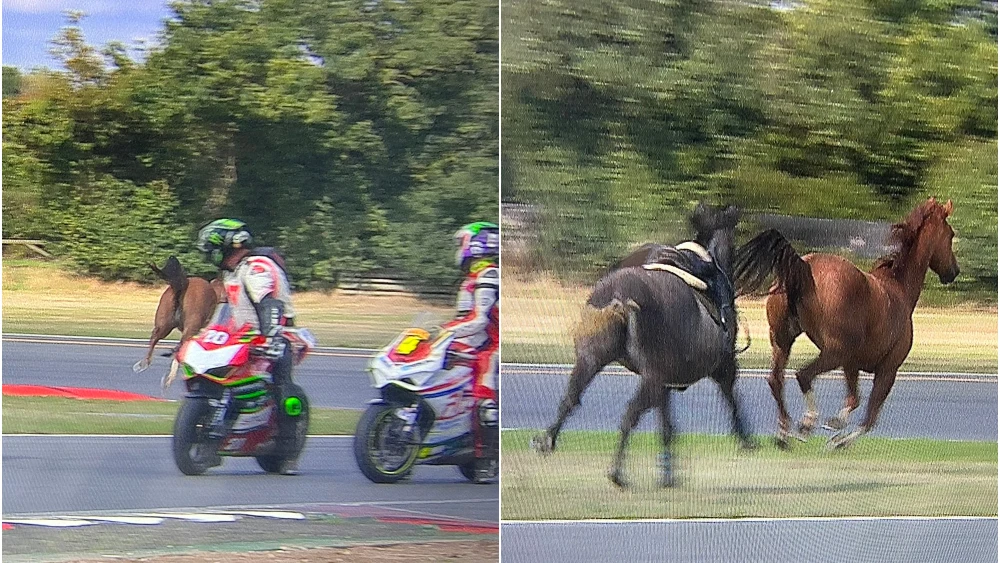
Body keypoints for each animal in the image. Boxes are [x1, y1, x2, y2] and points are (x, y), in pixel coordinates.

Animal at [132, 256, 222, 388]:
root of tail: (183, 284)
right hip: (190, 327)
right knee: (179, 347)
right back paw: (169, 378)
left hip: (164, 324)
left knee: (155, 338)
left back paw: (144, 364)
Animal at [736, 198, 960, 450]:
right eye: (951, 234)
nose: (953, 271)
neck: (899, 289)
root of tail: (802, 265)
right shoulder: (888, 369)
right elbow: (869, 417)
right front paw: (838, 438)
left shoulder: (851, 365)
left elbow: (854, 400)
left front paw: (837, 428)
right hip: (834, 352)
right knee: (803, 376)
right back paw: (806, 424)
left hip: (783, 340)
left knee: (776, 380)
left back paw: (784, 433)